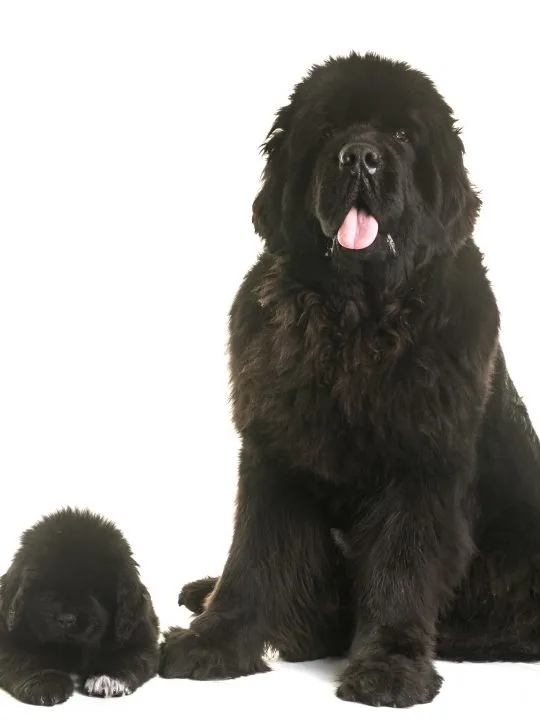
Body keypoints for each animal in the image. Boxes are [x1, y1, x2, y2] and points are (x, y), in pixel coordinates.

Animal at [0, 510, 159, 704]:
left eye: (95, 588)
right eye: (45, 586)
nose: (66, 619)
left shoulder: (139, 639)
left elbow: (124, 656)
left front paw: (107, 678)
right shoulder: (8, 636)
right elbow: (26, 658)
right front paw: (45, 682)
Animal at [159, 52, 540, 708]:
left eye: (404, 135)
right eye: (329, 130)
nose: (360, 156)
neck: (353, 322)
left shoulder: (421, 467)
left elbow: (401, 572)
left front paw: (389, 666)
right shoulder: (274, 452)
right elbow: (252, 557)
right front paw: (214, 640)